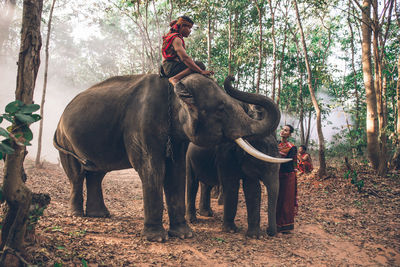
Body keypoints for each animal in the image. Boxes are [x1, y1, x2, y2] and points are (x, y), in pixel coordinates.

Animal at [185, 102, 282, 239]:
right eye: (261, 164)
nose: (269, 232)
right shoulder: (225, 155)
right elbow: (231, 185)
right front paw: (231, 230)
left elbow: (252, 188)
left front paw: (255, 236)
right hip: (188, 158)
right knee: (192, 183)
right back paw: (193, 220)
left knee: (206, 185)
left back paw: (207, 214)